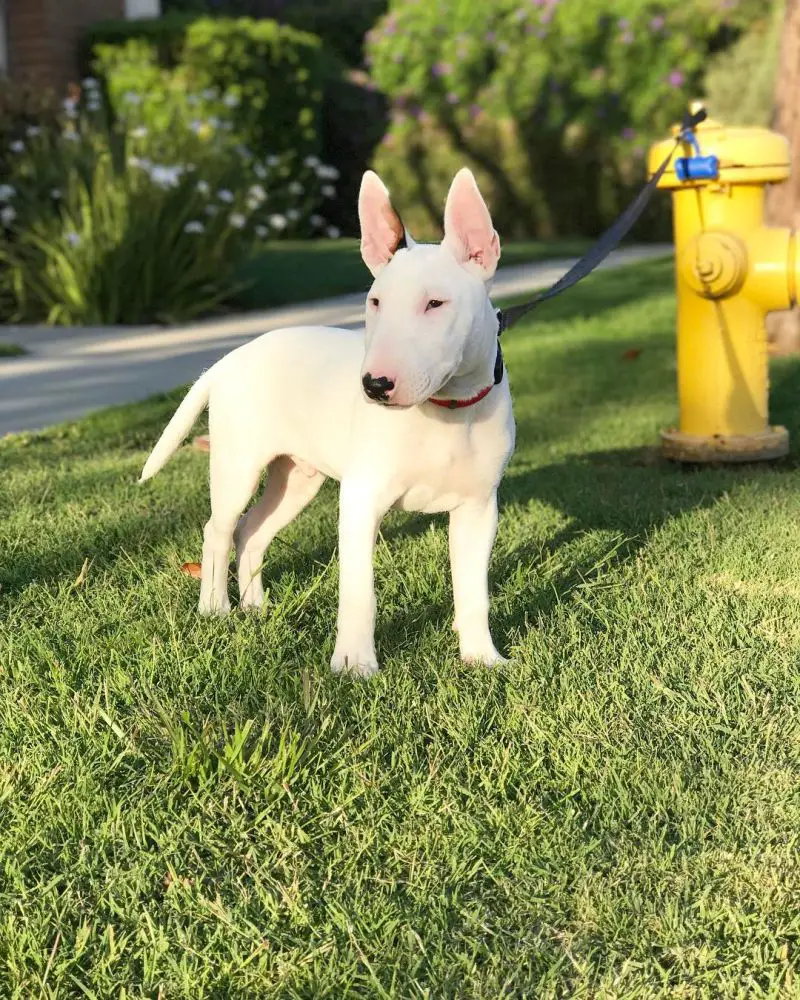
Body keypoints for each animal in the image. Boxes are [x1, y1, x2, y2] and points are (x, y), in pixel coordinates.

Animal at [140, 166, 516, 680]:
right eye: (374, 302)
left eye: (435, 304)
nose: (375, 385)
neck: (448, 411)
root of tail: (228, 360)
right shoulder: (360, 502)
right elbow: (359, 593)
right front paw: (354, 664)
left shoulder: (478, 509)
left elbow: (473, 591)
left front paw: (481, 657)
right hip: (237, 467)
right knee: (218, 530)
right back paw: (215, 608)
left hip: (297, 478)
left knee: (251, 531)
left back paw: (255, 606)